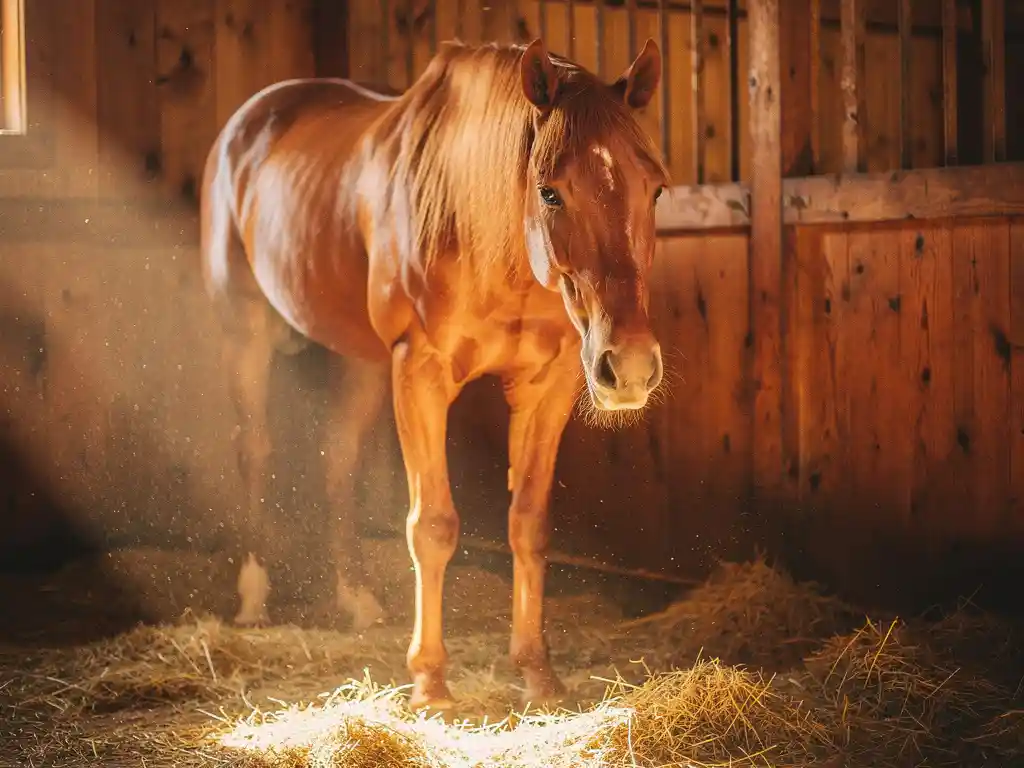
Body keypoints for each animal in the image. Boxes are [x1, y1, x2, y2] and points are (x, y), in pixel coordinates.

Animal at [199, 36, 668, 713]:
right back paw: (254, 598)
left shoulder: (547, 384)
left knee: (339, 456)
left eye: (654, 189)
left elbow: (529, 524)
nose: (628, 367)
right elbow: (433, 525)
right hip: (246, 332)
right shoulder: (420, 372)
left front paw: (539, 675)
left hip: (363, 362)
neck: (478, 226)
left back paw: (358, 600)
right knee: (253, 449)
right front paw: (430, 682)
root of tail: (249, 120)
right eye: (551, 191)